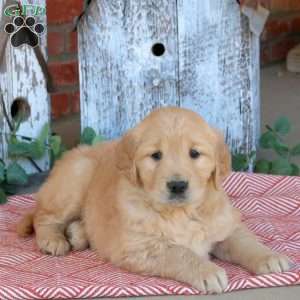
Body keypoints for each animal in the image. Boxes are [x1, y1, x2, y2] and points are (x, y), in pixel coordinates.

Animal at [17, 107, 290, 292]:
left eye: (194, 153)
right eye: (156, 155)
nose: (177, 185)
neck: (180, 212)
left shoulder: (224, 225)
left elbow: (245, 241)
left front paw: (270, 258)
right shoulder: (142, 247)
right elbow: (180, 252)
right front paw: (207, 270)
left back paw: (78, 233)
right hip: (76, 177)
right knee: (44, 215)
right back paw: (54, 239)